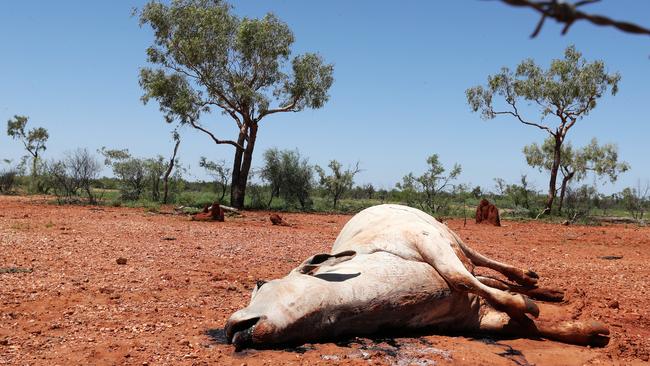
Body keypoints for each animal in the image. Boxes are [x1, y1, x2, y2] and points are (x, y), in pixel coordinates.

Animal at [224, 204, 608, 350]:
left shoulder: (427, 243)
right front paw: (587, 331)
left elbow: (462, 279)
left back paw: (529, 280)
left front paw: (527, 304)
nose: (228, 327)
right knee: (488, 278)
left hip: (450, 236)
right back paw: (550, 292)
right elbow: (527, 325)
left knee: (483, 264)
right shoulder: (476, 318)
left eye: (260, 285)